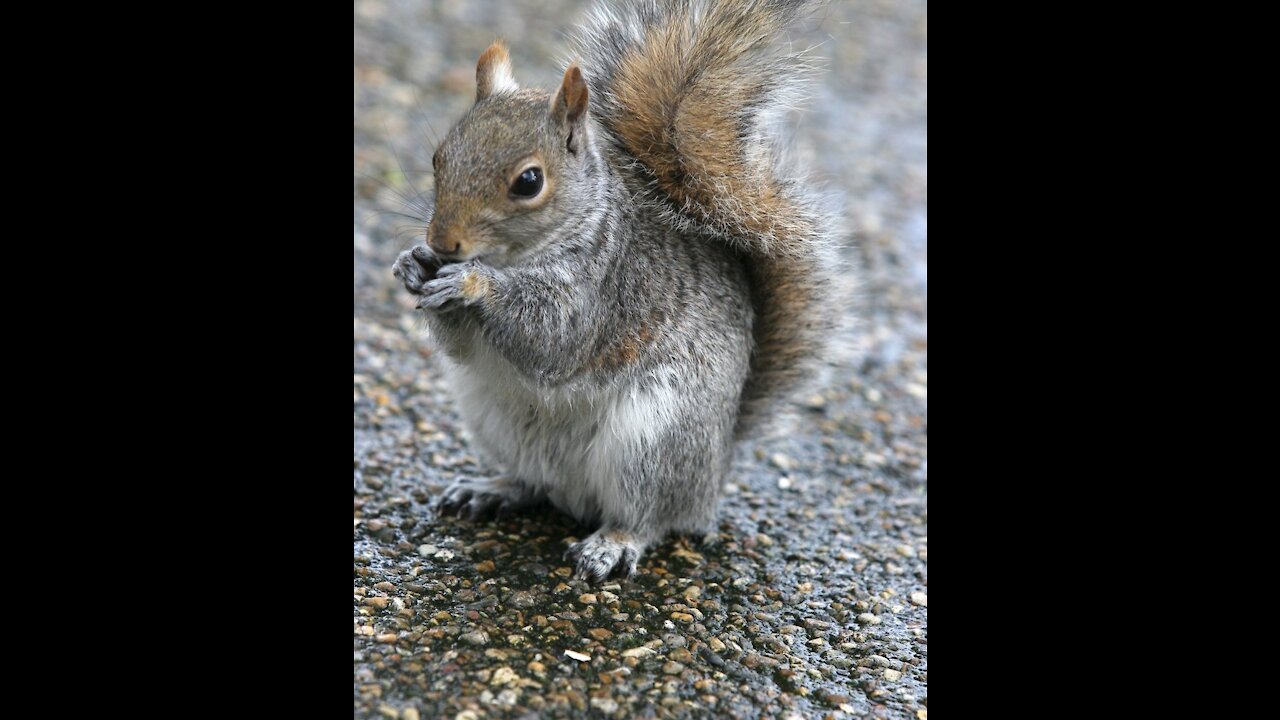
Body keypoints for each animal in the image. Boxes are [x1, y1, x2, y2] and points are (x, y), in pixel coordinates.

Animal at [394, 0, 844, 579]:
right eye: (439, 158)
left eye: (528, 182)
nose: (442, 243)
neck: (520, 256)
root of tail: (717, 465)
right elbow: (462, 346)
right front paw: (414, 265)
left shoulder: (607, 287)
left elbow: (552, 336)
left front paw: (472, 282)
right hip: (495, 421)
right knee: (535, 484)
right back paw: (492, 489)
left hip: (654, 440)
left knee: (650, 515)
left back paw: (611, 543)